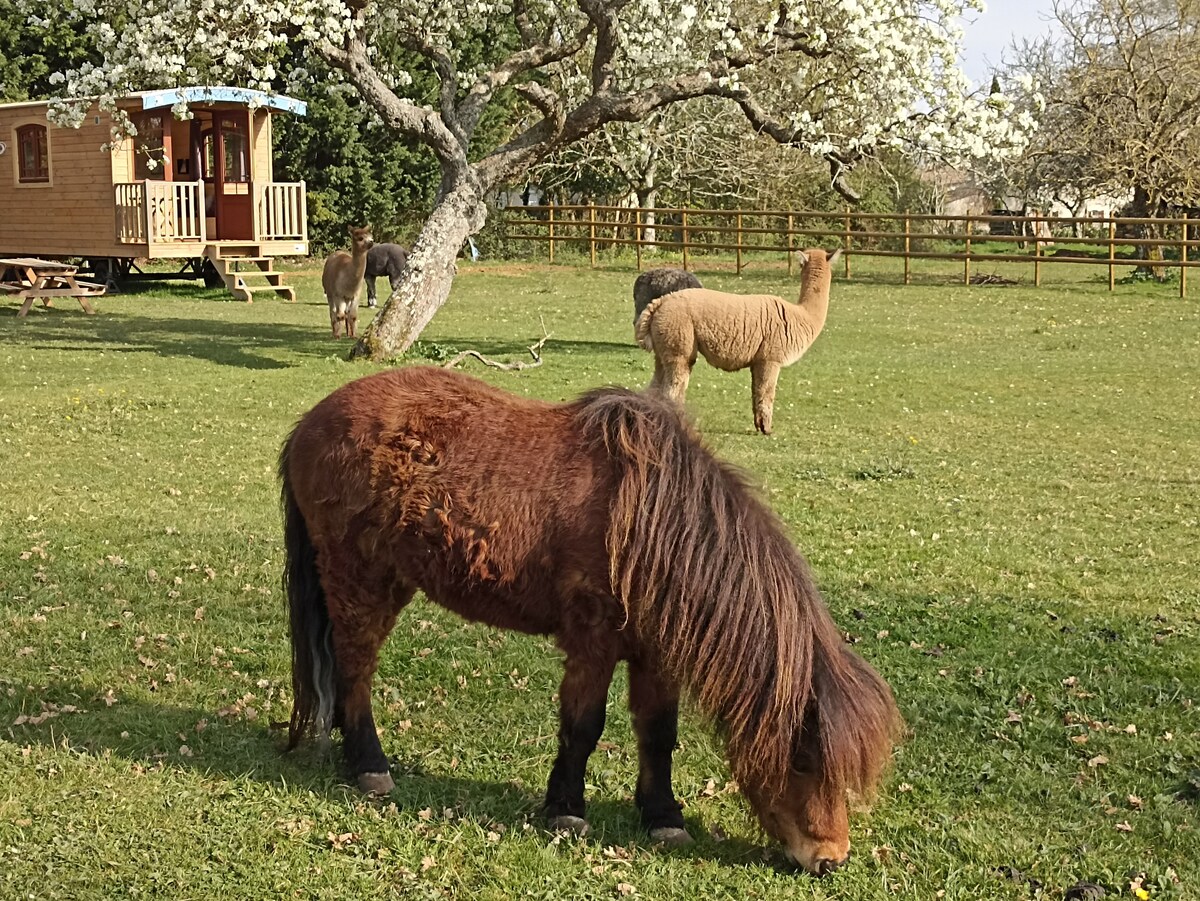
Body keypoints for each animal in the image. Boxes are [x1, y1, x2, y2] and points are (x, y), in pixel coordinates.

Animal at [280, 364, 902, 873]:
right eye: (804, 759)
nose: (830, 859)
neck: (650, 523)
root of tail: (310, 422)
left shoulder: (655, 654)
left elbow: (658, 734)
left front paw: (663, 817)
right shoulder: (592, 642)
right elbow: (583, 726)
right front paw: (566, 809)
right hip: (362, 583)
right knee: (355, 669)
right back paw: (369, 765)